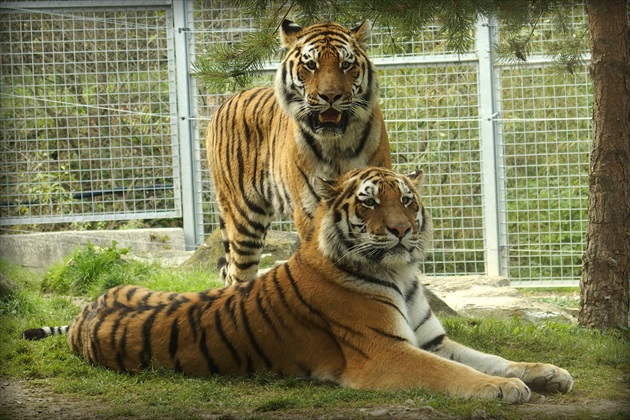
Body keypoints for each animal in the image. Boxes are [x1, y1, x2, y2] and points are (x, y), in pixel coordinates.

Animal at [22, 167, 576, 404]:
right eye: (370, 202)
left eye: (407, 200)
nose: (402, 230)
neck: (400, 273)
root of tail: (86, 309)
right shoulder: (386, 351)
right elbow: (454, 373)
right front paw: (503, 389)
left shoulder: (432, 339)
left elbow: (493, 356)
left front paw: (546, 372)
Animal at [207, 18, 392, 284]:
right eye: (311, 65)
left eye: (346, 65)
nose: (330, 96)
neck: (337, 144)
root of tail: (226, 101)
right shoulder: (310, 210)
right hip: (244, 217)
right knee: (237, 276)